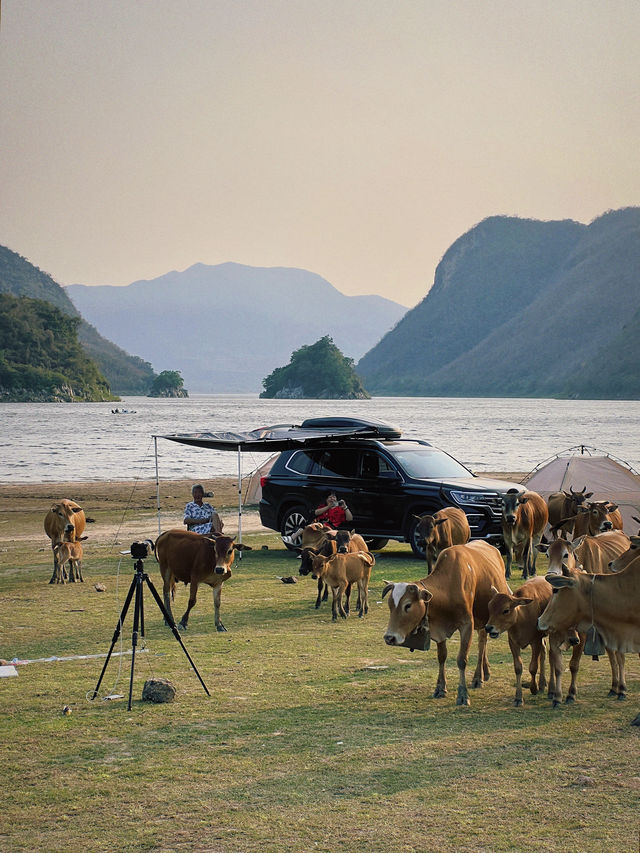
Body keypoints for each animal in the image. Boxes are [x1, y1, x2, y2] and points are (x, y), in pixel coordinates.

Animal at [380, 544, 510, 704]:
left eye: (408, 605)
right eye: (390, 605)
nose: (389, 637)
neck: (449, 588)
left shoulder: (467, 624)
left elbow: (462, 659)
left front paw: (463, 695)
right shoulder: (438, 630)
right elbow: (442, 657)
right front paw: (440, 688)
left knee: (481, 644)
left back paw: (478, 677)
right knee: (483, 641)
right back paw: (484, 672)